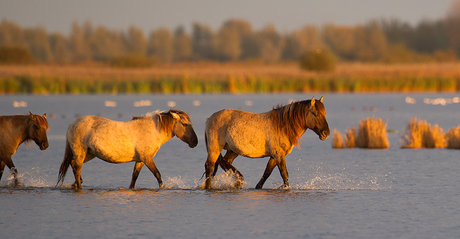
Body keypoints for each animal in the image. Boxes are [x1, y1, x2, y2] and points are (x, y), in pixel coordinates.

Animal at [55, 109, 198, 190]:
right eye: (184, 124)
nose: (195, 142)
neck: (153, 130)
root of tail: (72, 124)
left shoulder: (140, 160)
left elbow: (134, 176)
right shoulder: (147, 158)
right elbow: (157, 174)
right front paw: (163, 187)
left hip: (89, 154)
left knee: (72, 164)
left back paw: (76, 183)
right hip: (81, 152)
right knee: (77, 168)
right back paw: (79, 186)